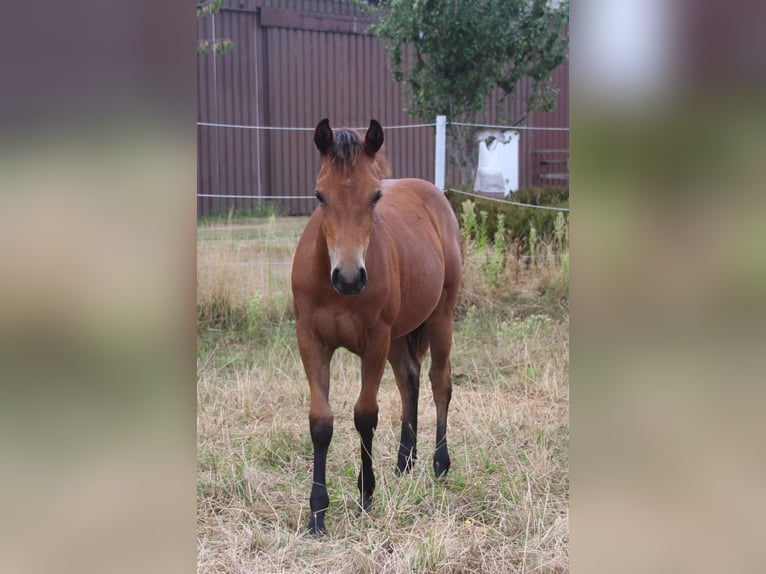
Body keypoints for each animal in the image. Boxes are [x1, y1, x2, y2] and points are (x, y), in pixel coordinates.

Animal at [291, 118, 462, 534]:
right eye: (320, 195)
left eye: (375, 197)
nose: (350, 277)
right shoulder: (311, 341)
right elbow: (321, 422)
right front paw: (317, 513)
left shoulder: (374, 342)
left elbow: (365, 415)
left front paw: (366, 495)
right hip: (400, 335)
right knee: (409, 381)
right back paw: (404, 462)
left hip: (439, 316)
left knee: (439, 382)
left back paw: (439, 464)